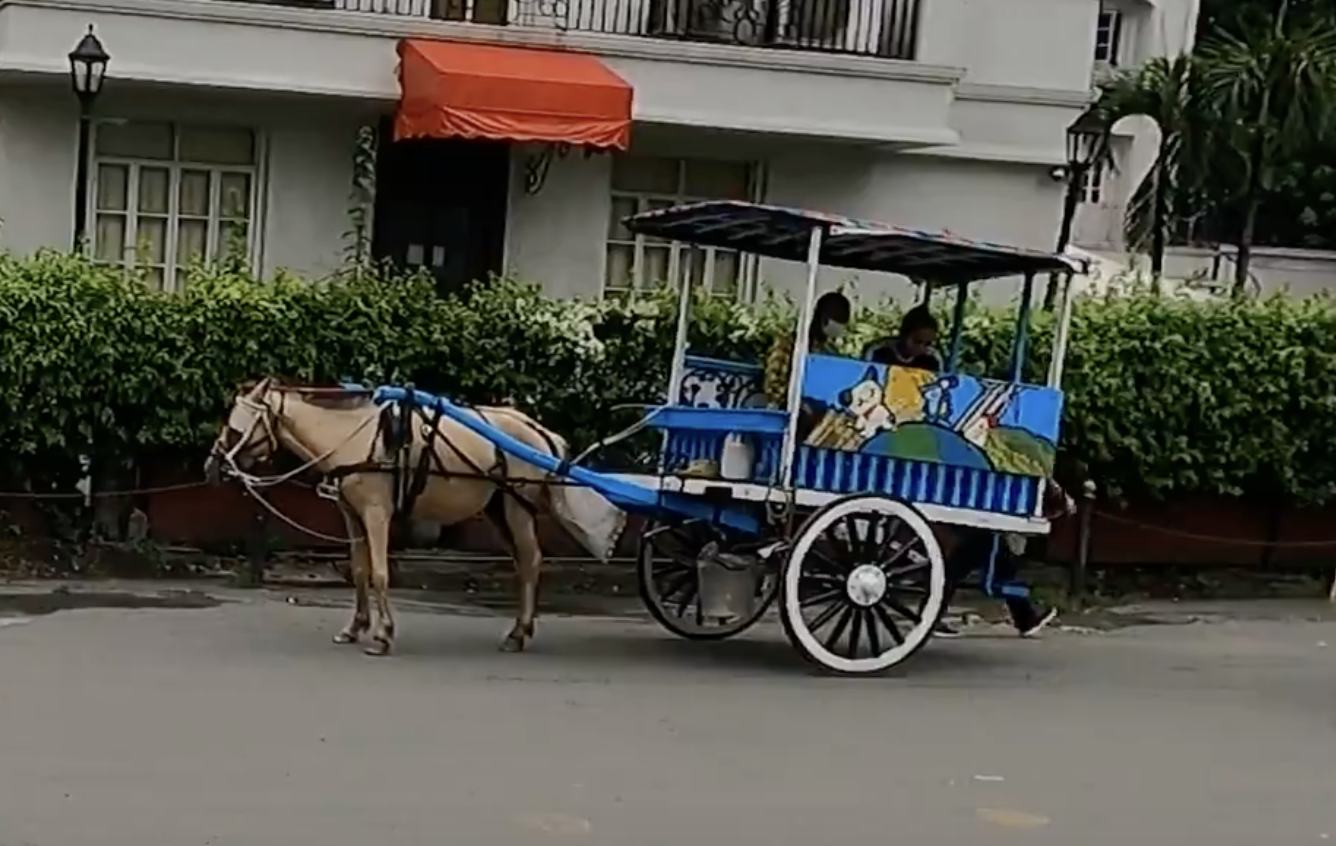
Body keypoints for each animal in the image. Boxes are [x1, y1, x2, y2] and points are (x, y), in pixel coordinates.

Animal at [201, 379, 625, 657]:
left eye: (236, 425)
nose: (212, 466)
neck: (354, 438)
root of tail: (537, 431)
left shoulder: (376, 513)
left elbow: (379, 572)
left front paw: (383, 635)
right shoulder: (352, 514)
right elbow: (359, 571)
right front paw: (355, 627)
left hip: (515, 506)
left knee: (532, 560)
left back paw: (519, 633)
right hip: (497, 509)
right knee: (523, 563)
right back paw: (519, 630)